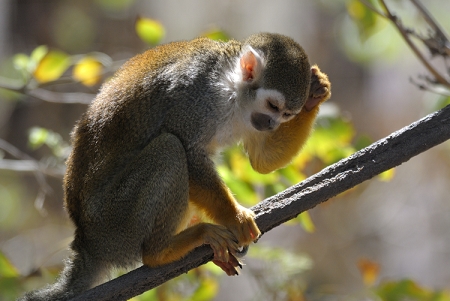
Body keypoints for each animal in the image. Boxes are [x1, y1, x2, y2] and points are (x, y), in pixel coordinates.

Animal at [19, 32, 330, 300]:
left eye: (287, 114)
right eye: (273, 107)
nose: (271, 124)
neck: (232, 89)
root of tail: (86, 243)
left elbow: (262, 161)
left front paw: (317, 92)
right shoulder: (194, 96)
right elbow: (189, 154)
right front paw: (236, 219)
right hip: (116, 223)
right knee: (170, 148)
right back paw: (161, 252)